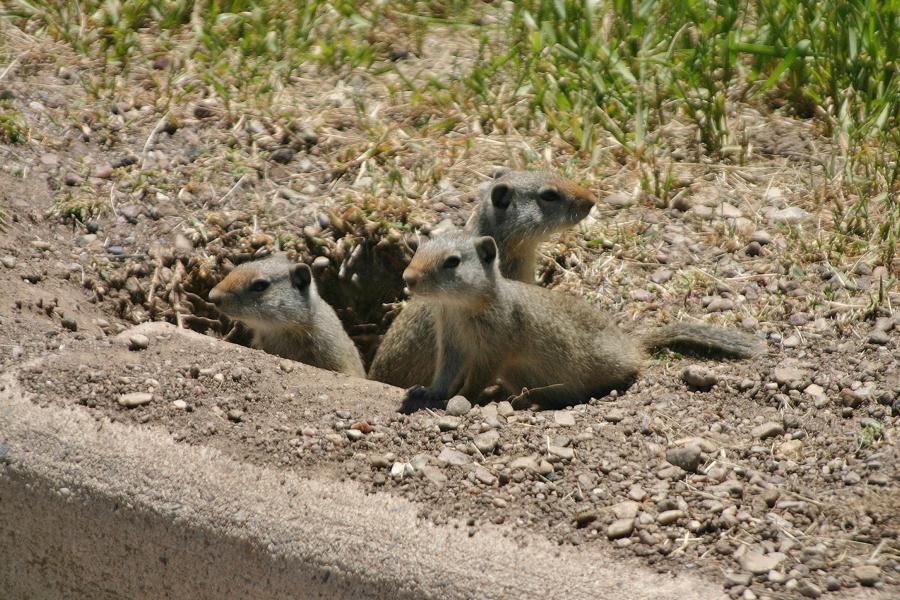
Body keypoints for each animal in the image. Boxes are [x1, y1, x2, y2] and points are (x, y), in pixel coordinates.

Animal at [404, 234, 764, 412]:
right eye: (417, 250)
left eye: (452, 262)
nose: (407, 278)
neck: (458, 308)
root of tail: (632, 343)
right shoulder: (450, 344)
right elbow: (444, 373)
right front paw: (428, 391)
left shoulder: (493, 347)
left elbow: (478, 377)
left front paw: (463, 397)